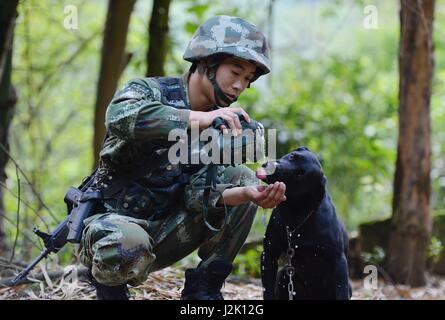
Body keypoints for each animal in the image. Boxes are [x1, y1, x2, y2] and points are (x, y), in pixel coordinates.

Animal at [256, 146, 350, 298]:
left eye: (300, 174)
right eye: (292, 156)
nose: (272, 167)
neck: (296, 212)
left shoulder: (338, 260)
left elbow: (342, 291)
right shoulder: (269, 254)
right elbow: (267, 290)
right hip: (283, 276)